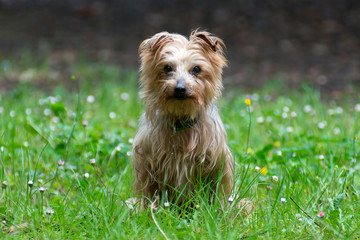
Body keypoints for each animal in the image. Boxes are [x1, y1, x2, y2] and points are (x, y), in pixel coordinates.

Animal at [132, 30, 233, 208]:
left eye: (196, 69)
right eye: (167, 68)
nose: (180, 88)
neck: (180, 119)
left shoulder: (216, 163)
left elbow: (216, 192)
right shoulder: (147, 163)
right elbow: (149, 192)